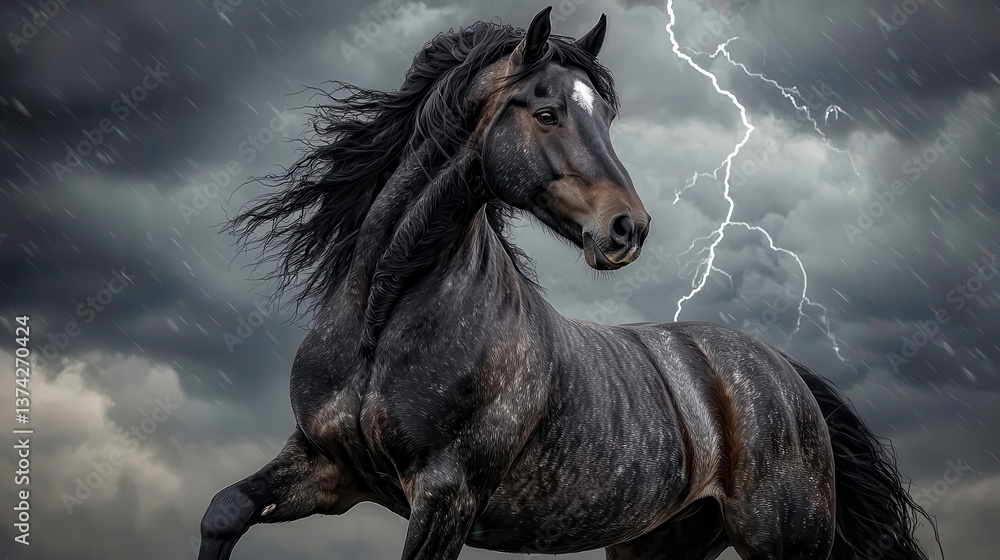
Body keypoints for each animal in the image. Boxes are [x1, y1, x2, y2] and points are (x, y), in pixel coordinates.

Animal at [200, 7, 936, 560]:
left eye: (605, 117)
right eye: (546, 111)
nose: (628, 229)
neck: (382, 323)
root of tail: (786, 374)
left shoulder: (445, 495)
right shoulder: (330, 468)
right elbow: (223, 510)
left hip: (785, 539)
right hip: (660, 544)